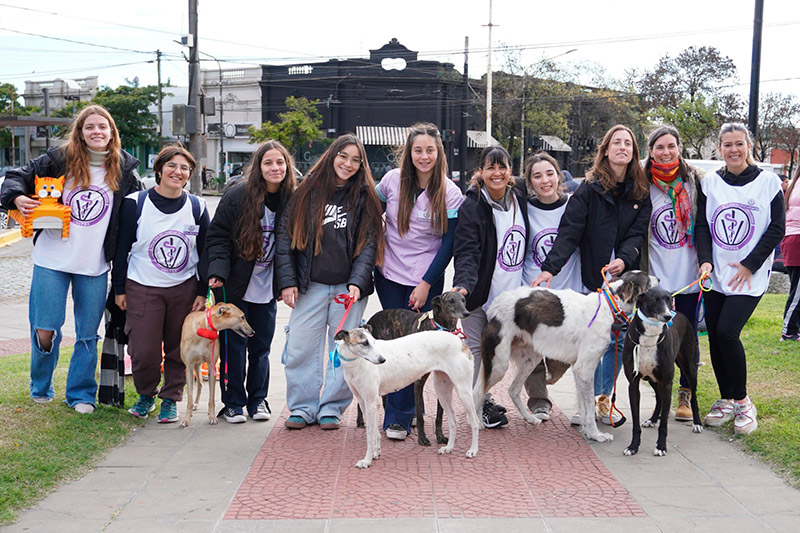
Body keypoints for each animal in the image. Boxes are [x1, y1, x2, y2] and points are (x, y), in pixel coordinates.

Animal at [360, 290, 472, 444]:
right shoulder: (419, 382)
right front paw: (422, 438)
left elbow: (440, 414)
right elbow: (419, 415)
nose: (466, 313)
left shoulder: (442, 379)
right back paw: (362, 422)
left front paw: (440, 436)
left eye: (463, 300)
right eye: (450, 301)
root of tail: (369, 322)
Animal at [476, 270, 656, 440]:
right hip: (499, 364)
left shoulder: (578, 369)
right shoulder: (585, 370)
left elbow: (585, 407)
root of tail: (494, 305)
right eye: (647, 278)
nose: (659, 279)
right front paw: (596, 435)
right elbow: (589, 407)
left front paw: (588, 432)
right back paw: (478, 423)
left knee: (512, 389)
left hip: (530, 358)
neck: (608, 306)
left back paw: (530, 418)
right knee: (478, 390)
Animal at [620, 286, 704, 458]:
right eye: (654, 300)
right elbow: (635, 422)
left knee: (693, 397)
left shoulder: (667, 384)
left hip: (689, 368)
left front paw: (661, 447)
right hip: (652, 378)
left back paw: (697, 423)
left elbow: (664, 423)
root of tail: (680, 314)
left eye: (669, 299)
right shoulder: (634, 384)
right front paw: (633, 447)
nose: (667, 316)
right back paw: (652, 419)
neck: (649, 336)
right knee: (658, 398)